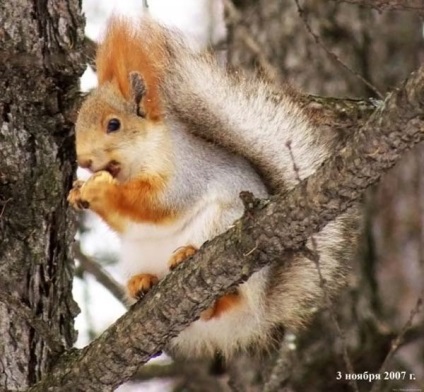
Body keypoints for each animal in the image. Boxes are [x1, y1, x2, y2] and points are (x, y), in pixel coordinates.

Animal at [68, 16, 360, 358]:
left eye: (113, 124)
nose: (83, 160)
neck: (139, 158)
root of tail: (257, 310)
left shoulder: (185, 172)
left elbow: (158, 204)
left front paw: (99, 190)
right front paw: (76, 191)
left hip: (224, 225)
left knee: (227, 299)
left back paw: (192, 264)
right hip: (136, 254)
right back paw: (141, 282)